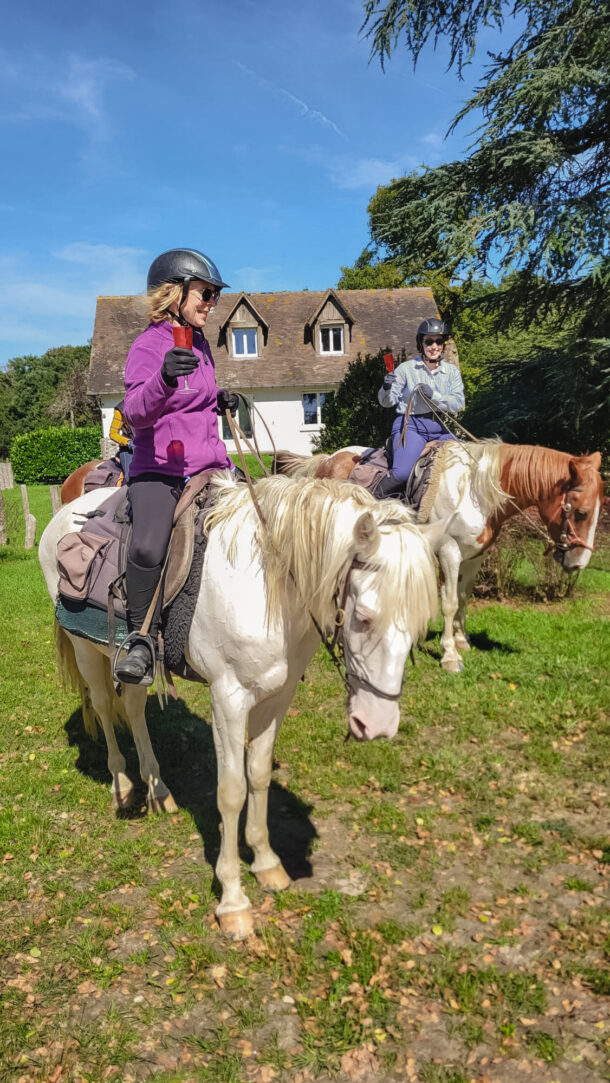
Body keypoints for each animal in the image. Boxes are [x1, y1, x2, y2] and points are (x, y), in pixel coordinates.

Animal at [39, 472, 441, 936]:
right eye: (364, 618)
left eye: (420, 625)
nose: (377, 725)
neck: (270, 587)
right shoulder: (228, 700)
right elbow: (231, 791)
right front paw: (232, 899)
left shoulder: (277, 696)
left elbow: (259, 774)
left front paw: (266, 864)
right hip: (87, 652)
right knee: (105, 708)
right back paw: (122, 787)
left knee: (136, 708)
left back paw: (158, 789)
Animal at [274, 441, 604, 672]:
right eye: (581, 512)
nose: (579, 563)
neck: (475, 491)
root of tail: (326, 460)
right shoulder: (449, 551)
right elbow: (449, 601)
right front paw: (449, 655)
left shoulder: (474, 557)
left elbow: (463, 598)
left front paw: (462, 640)